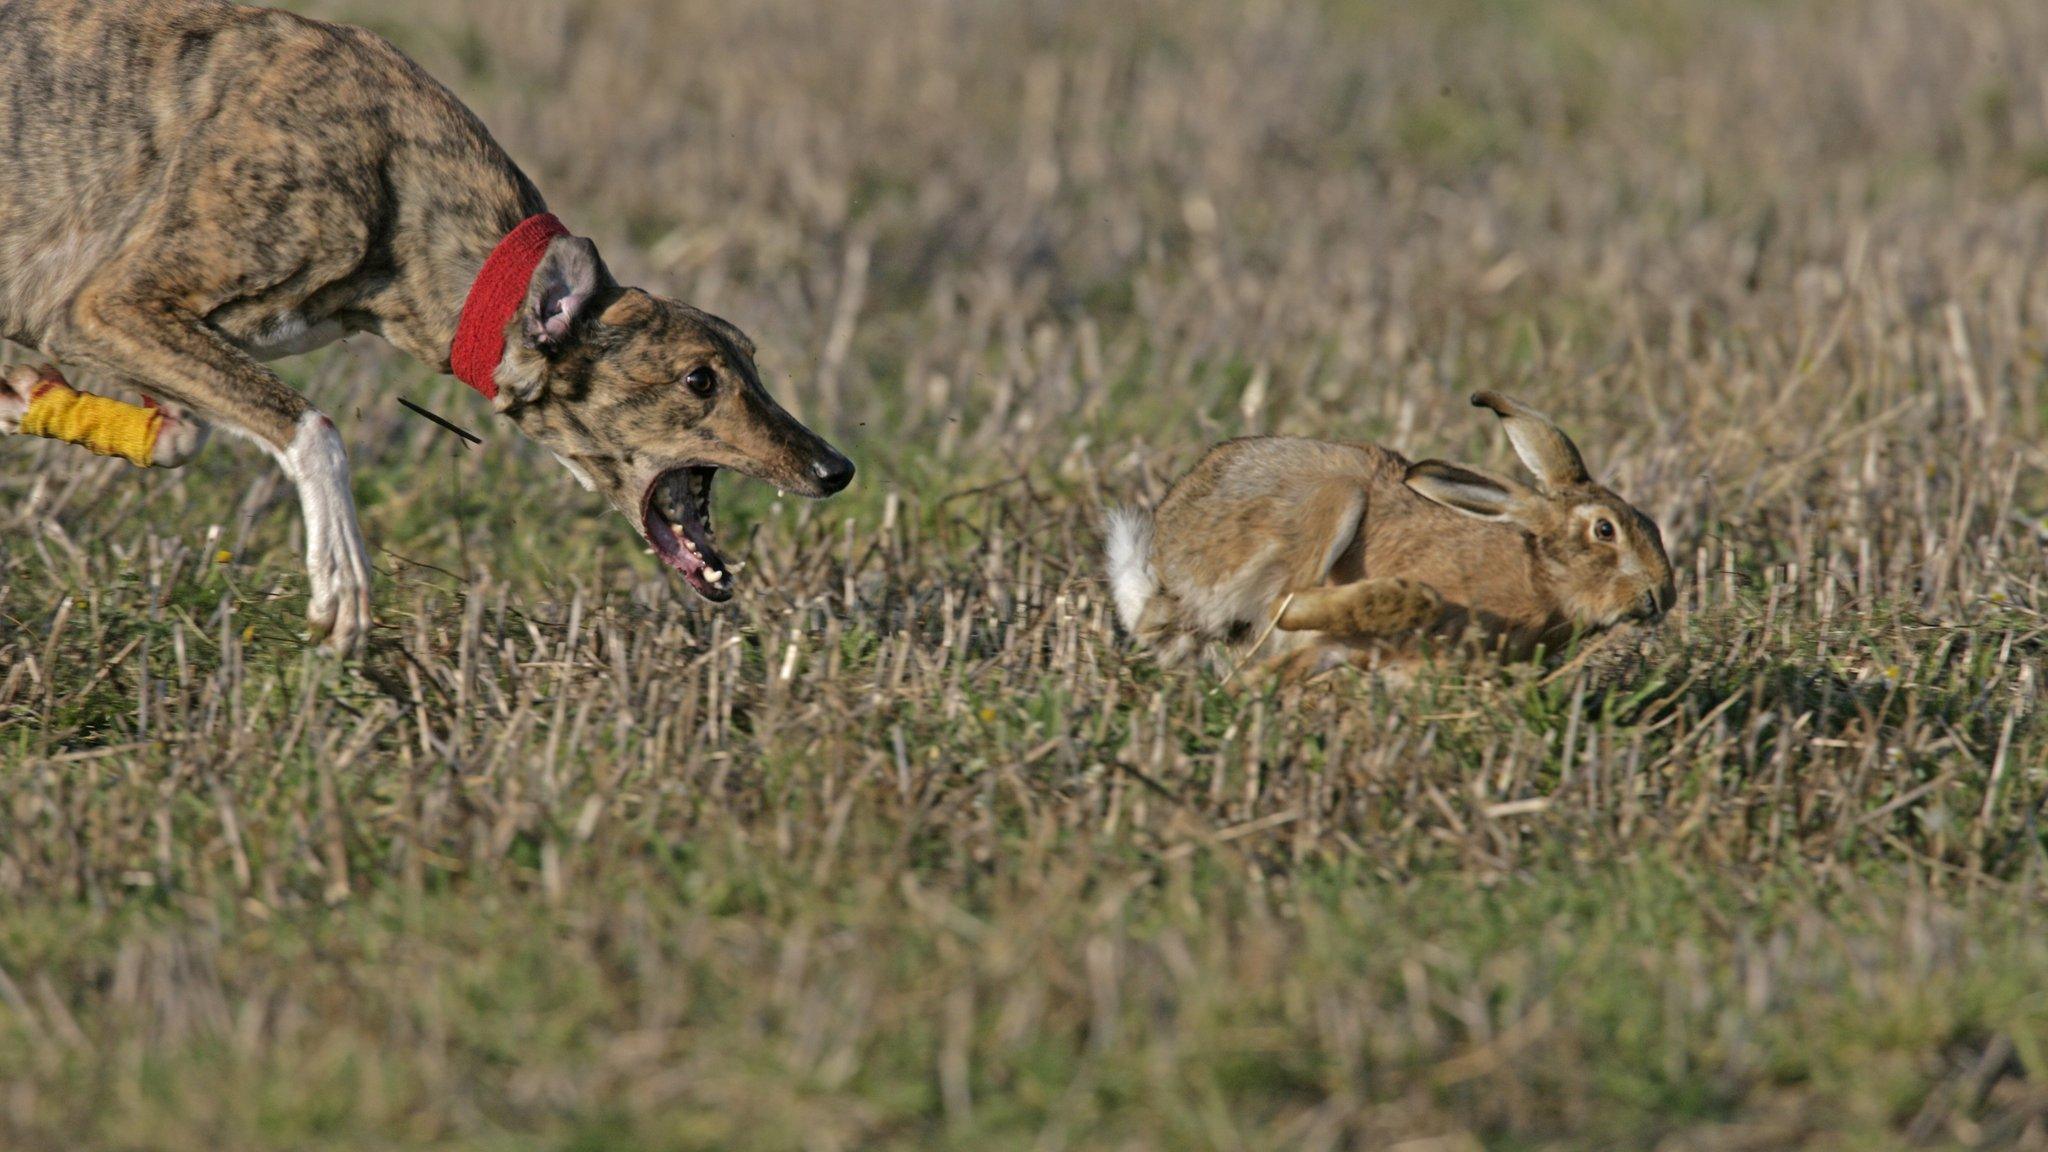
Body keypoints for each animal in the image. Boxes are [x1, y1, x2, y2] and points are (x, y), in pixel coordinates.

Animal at [0, 0, 856, 647]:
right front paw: (342, 583)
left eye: (751, 356)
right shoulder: (108, 302)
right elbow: (313, 427)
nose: (836, 468)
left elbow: (182, 434)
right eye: (699, 379)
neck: (400, 174)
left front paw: (28, 399)